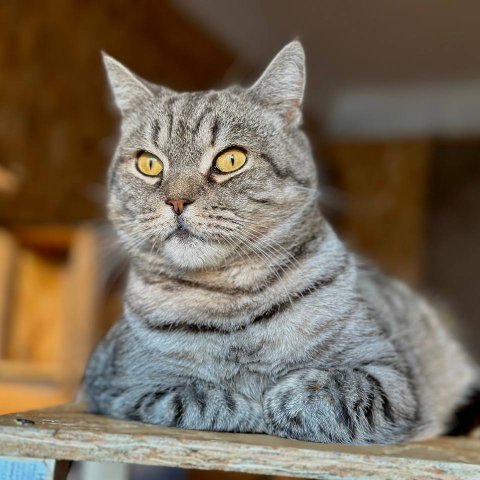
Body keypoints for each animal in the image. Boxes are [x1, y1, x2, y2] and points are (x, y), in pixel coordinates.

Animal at [84, 42, 478, 446]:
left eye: (231, 159)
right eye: (149, 164)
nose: (177, 201)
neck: (230, 304)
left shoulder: (392, 379)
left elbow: (319, 391)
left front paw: (273, 400)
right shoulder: (121, 386)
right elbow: (195, 398)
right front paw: (248, 405)